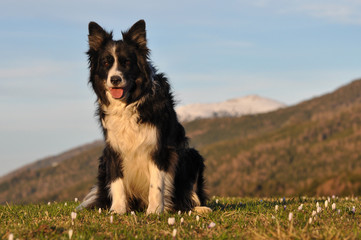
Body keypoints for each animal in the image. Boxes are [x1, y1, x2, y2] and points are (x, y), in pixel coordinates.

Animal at [77, 19, 210, 214]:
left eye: (126, 62)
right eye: (106, 63)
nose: (115, 79)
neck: (128, 104)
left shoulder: (159, 148)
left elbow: (156, 185)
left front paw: (154, 211)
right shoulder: (113, 149)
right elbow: (117, 182)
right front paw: (117, 211)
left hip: (192, 156)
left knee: (187, 197)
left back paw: (197, 209)